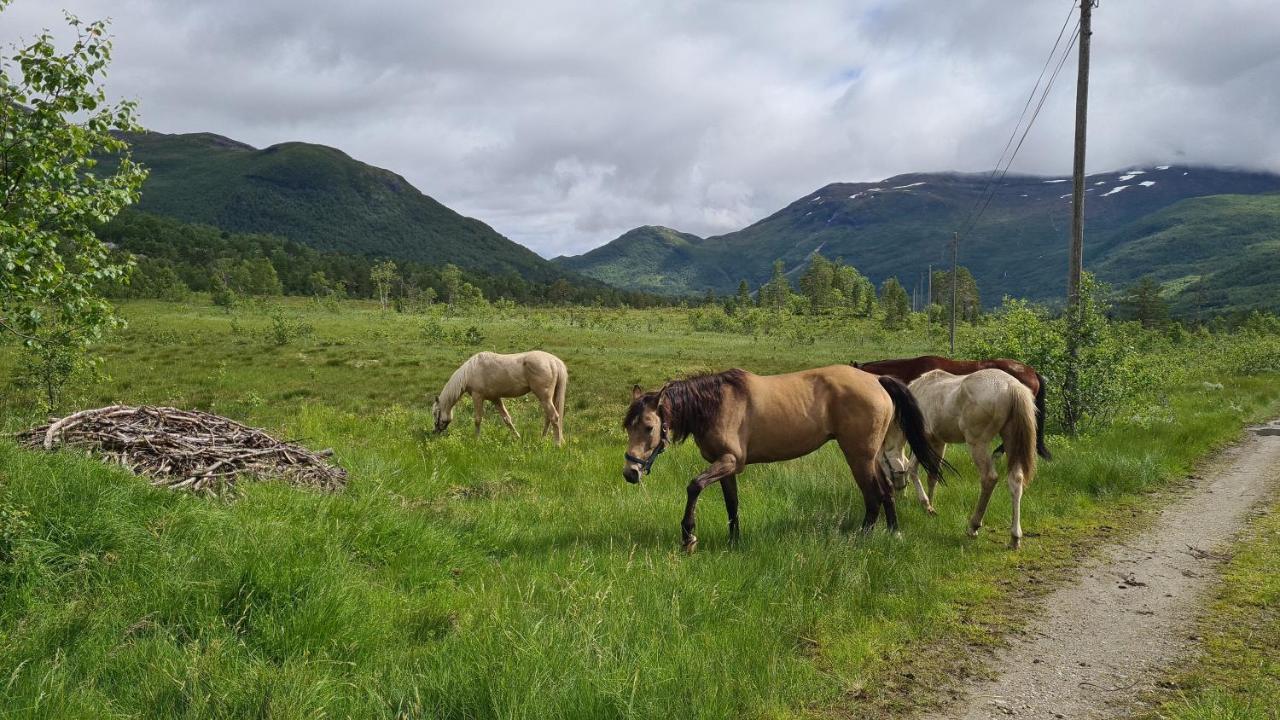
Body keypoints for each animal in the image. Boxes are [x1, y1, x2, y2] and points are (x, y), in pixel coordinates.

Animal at [432, 348, 568, 443]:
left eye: (434, 413)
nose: (435, 432)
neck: (471, 371)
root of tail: (554, 361)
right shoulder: (495, 398)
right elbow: (507, 419)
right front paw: (517, 438)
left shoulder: (477, 396)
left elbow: (478, 419)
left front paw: (476, 441)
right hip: (549, 398)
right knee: (548, 418)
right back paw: (543, 439)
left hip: (544, 397)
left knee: (554, 417)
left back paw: (557, 444)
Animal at [619, 363, 952, 548]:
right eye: (627, 426)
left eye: (649, 427)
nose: (630, 473)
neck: (716, 404)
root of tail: (876, 380)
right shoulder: (727, 467)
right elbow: (732, 504)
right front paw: (734, 542)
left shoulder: (729, 461)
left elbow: (694, 486)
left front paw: (689, 536)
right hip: (870, 456)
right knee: (885, 492)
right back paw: (891, 533)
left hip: (858, 456)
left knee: (874, 495)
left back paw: (866, 537)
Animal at [880, 366, 1039, 545]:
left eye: (883, 464)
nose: (899, 494)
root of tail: (1011, 386)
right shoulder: (939, 443)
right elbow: (933, 475)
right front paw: (931, 507)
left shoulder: (924, 442)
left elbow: (912, 469)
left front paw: (925, 503)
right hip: (1011, 440)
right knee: (1016, 480)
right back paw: (1014, 537)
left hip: (977, 443)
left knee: (989, 478)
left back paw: (973, 526)